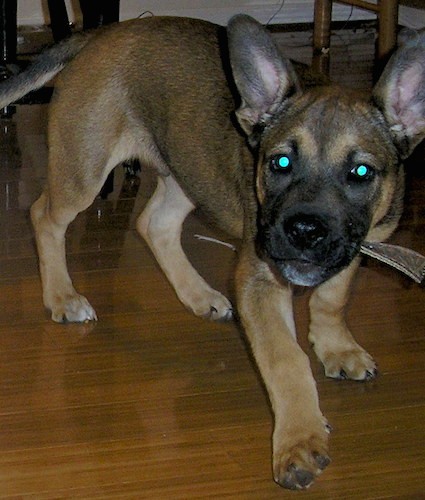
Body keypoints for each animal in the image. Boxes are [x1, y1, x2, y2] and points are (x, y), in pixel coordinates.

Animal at [0, 14, 424, 488]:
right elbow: (286, 359)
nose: (302, 232)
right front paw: (299, 441)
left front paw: (337, 348)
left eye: (361, 172)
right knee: (44, 216)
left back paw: (199, 296)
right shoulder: (260, 277)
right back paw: (61, 296)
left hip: (191, 169)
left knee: (155, 224)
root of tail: (101, 33)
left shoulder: (360, 242)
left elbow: (331, 298)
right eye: (279, 163)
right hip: (85, 168)